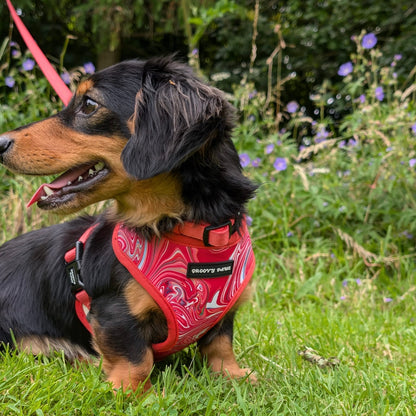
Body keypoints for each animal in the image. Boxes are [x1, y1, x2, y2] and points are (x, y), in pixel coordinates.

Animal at [0, 57, 256, 392]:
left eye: (89, 104)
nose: (0, 142)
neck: (186, 233)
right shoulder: (113, 313)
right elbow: (135, 358)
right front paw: (132, 392)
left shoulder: (224, 310)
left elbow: (220, 344)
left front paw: (234, 375)